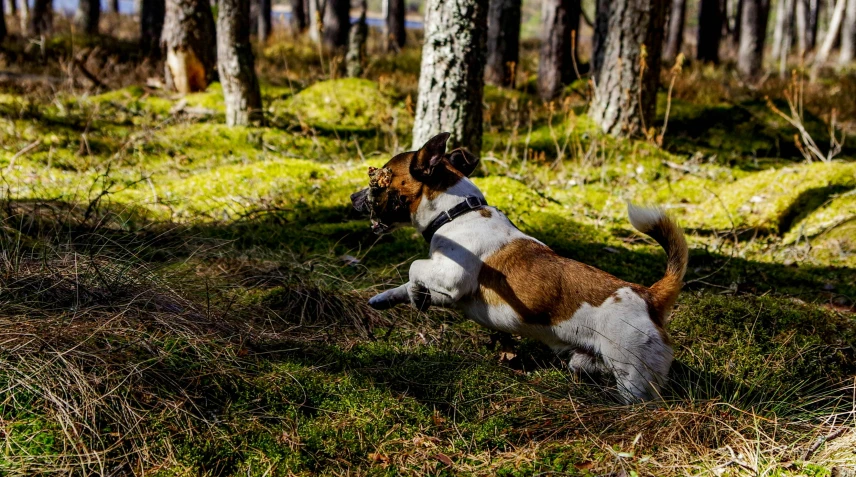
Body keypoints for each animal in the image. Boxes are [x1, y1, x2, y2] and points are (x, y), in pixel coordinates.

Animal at [348, 131, 688, 402]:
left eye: (381, 177)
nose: (352, 196)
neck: (456, 213)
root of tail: (650, 296)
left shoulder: (453, 276)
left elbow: (415, 268)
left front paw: (416, 294)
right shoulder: (446, 288)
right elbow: (409, 282)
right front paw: (388, 298)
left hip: (633, 376)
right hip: (585, 361)